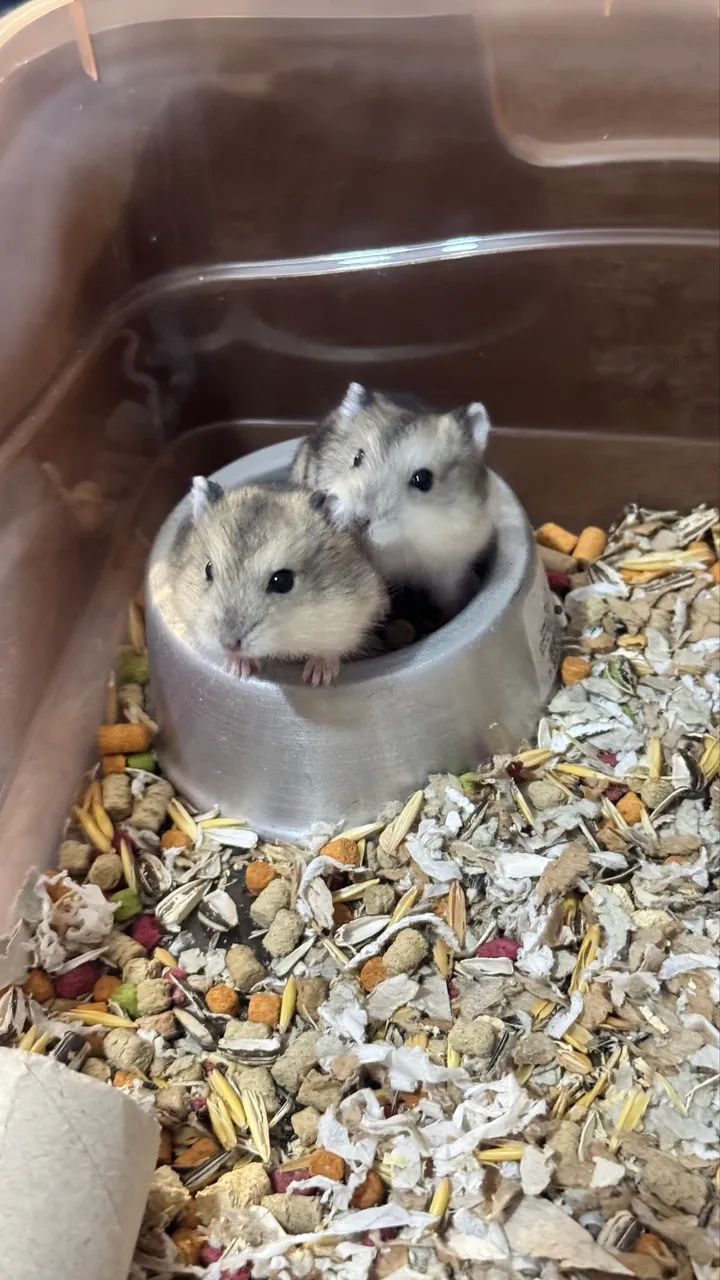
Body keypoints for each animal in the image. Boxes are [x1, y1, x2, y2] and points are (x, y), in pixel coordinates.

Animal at [169, 478, 388, 685]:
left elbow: (331, 650)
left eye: (282, 581)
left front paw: (316, 678)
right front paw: (238, 669)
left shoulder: (353, 618)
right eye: (208, 569)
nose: (229, 644)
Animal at [291, 383, 494, 615]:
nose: (359, 522)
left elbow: (449, 593)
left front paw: (459, 607)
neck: (405, 542)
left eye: (423, 479)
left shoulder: (451, 564)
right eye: (357, 457)